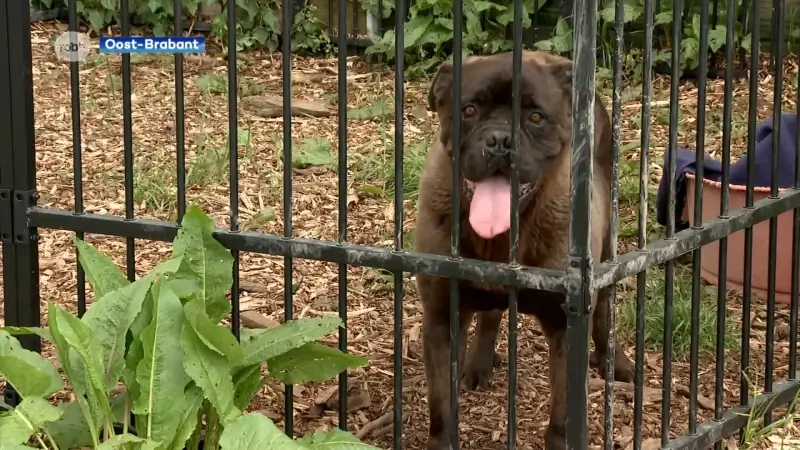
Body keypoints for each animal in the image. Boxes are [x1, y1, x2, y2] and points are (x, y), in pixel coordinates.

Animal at [416, 49, 636, 450]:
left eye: (536, 118)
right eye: (469, 110)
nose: (500, 140)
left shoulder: (565, 327)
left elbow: (562, 414)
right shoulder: (441, 316)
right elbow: (441, 404)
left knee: (603, 313)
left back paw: (617, 362)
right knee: (490, 315)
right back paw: (478, 363)